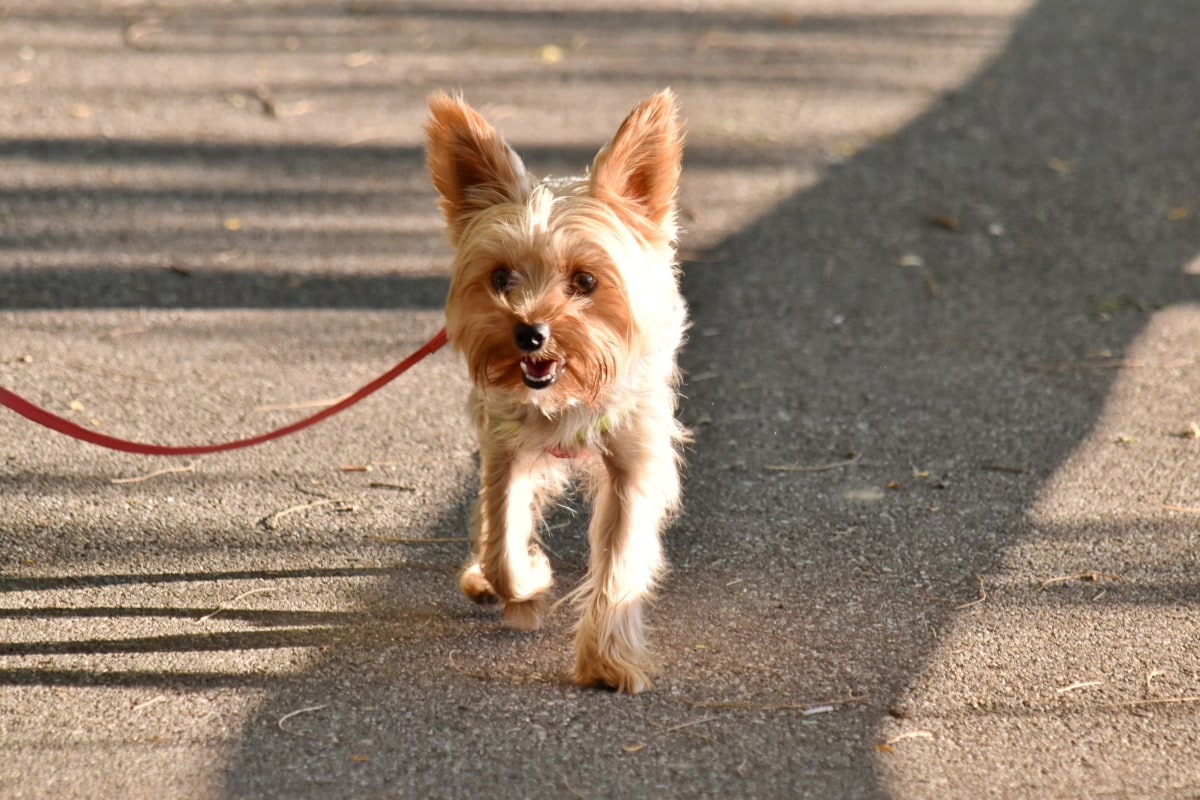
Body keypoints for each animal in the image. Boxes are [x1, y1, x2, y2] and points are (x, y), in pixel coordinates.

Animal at [427, 89, 691, 695]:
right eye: (501, 278)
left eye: (586, 281)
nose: (530, 331)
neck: (567, 397)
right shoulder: (505, 447)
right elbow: (501, 537)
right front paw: (526, 583)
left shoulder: (632, 465)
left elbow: (619, 559)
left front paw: (606, 661)